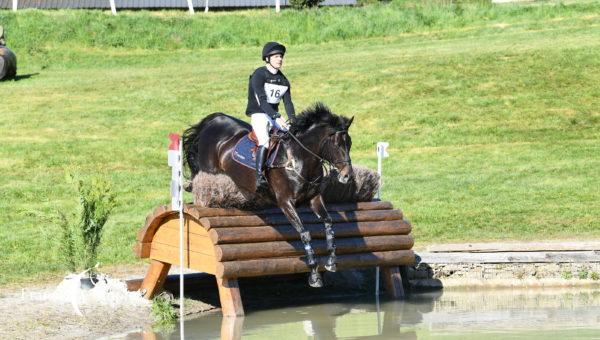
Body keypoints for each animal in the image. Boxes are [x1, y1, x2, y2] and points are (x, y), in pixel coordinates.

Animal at [180, 103, 354, 286]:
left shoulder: (314, 198)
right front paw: (314, 274)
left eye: (349, 144)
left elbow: (329, 224)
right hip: (208, 169)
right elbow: (305, 234)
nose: (347, 176)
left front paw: (331, 262)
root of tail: (213, 120)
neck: (299, 158)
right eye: (337, 145)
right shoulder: (285, 202)